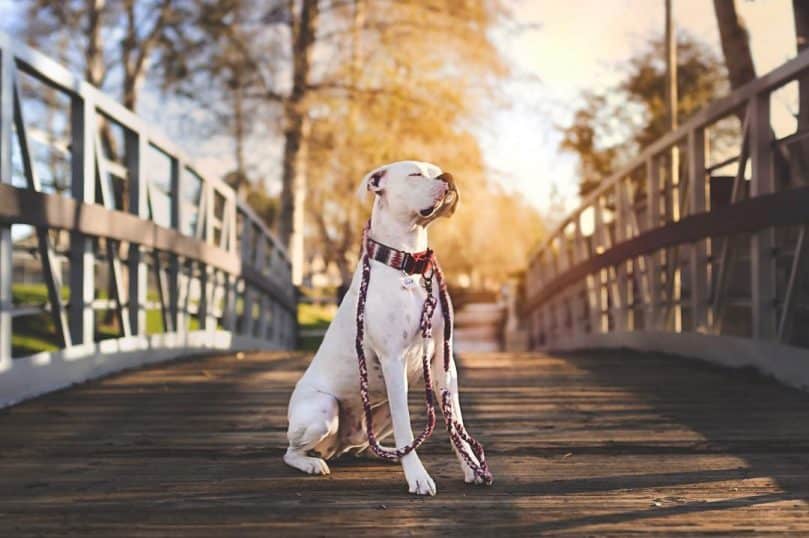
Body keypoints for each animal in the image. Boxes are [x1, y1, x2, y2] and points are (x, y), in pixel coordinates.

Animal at [284, 159, 486, 494]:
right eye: (416, 174)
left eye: (438, 170)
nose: (449, 177)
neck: (408, 263)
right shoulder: (393, 360)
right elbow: (408, 429)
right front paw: (418, 477)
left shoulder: (444, 362)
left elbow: (455, 421)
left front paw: (472, 467)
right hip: (323, 409)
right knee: (291, 451)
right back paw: (312, 463)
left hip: (381, 413)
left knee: (363, 444)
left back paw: (385, 453)